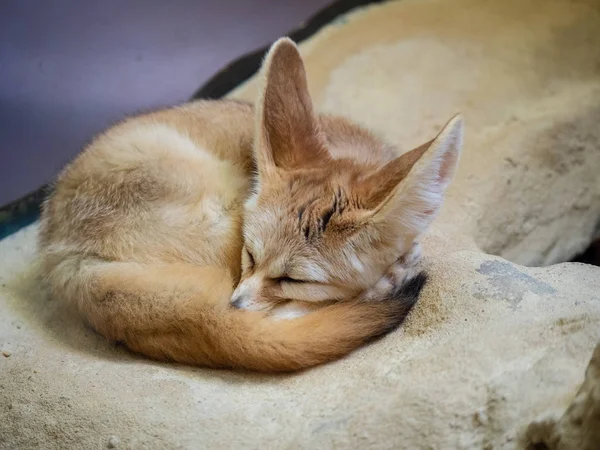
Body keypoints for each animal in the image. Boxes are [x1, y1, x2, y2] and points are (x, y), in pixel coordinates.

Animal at [37, 38, 464, 370]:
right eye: (251, 255)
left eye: (294, 280)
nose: (235, 305)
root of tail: (60, 253)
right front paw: (390, 275)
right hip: (223, 215)